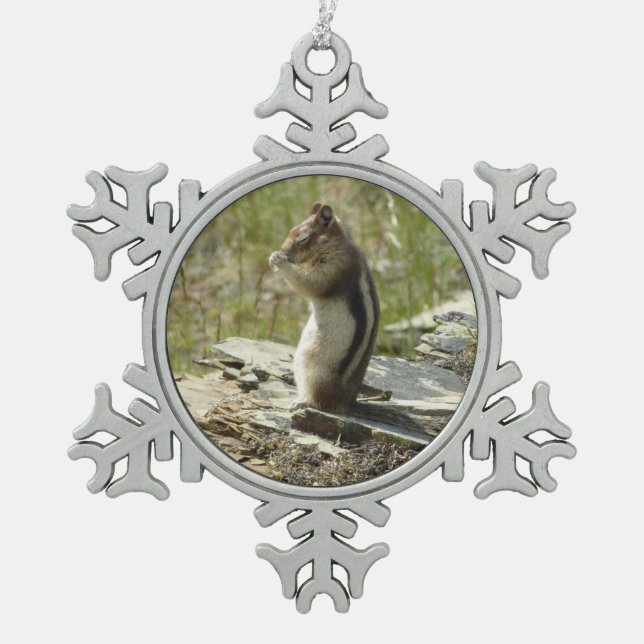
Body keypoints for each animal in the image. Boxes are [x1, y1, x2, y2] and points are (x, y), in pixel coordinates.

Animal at [269, 202, 380, 415]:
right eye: (291, 230)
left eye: (303, 238)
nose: (283, 250)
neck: (336, 244)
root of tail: (346, 402)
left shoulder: (333, 267)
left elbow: (310, 282)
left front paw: (279, 260)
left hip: (313, 367)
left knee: (320, 402)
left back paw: (302, 402)